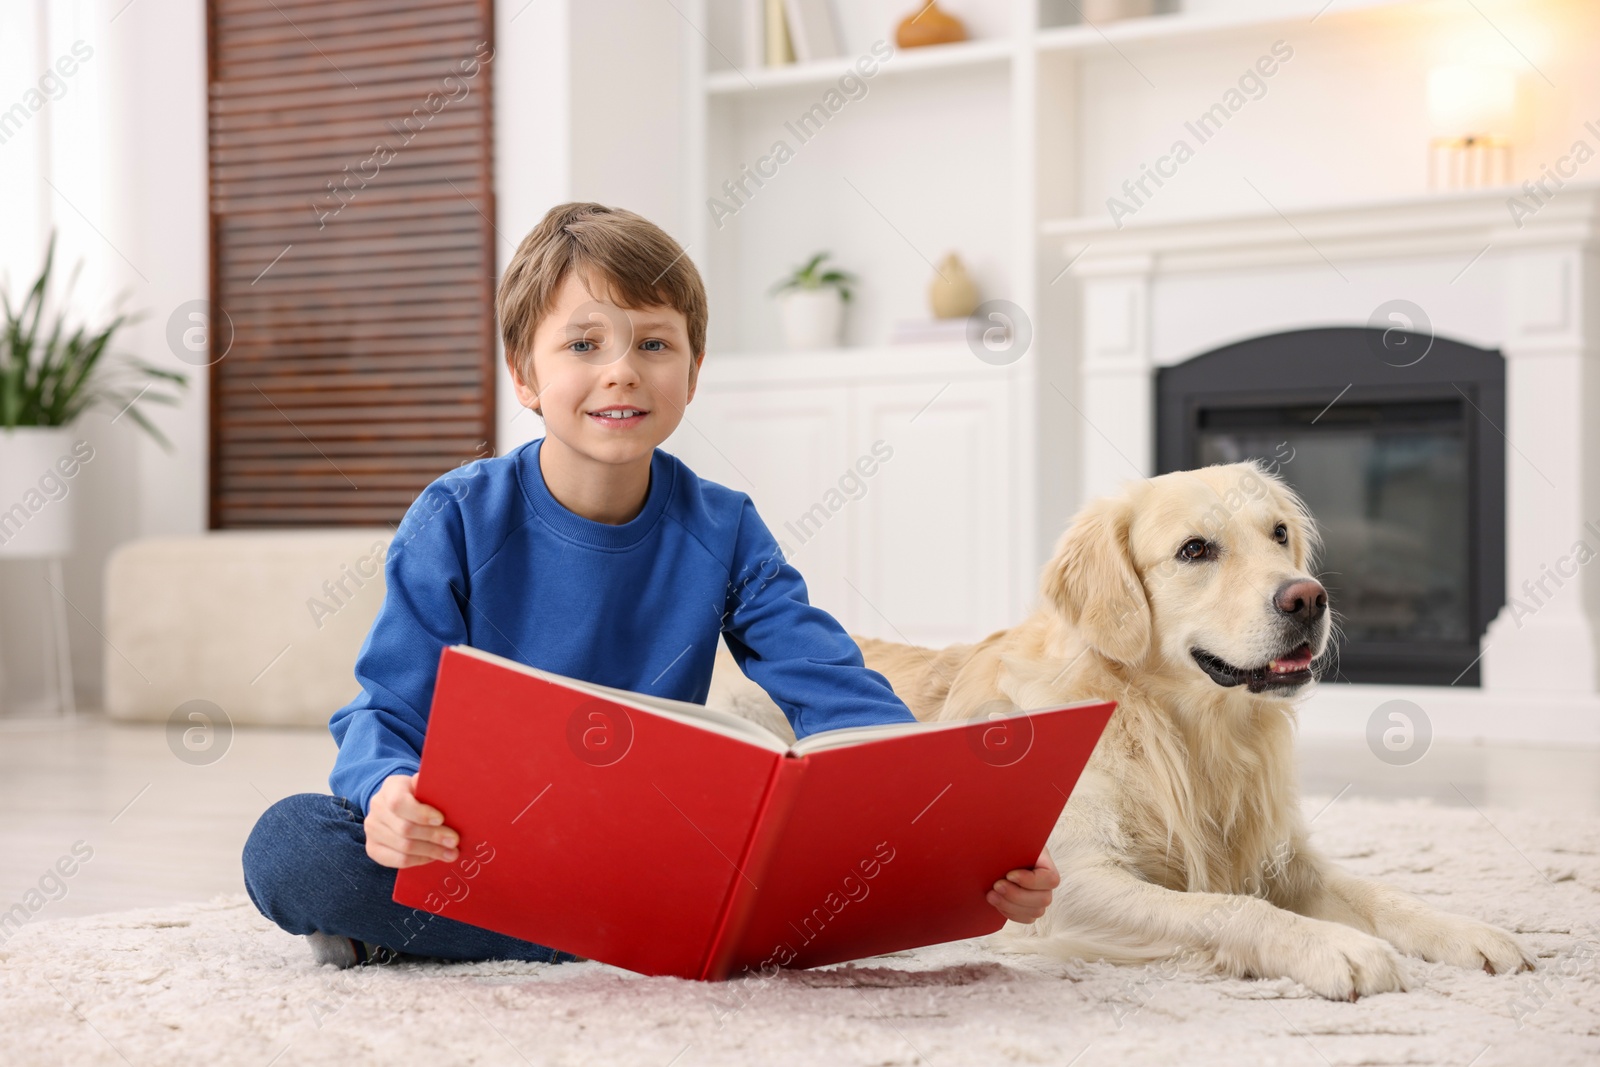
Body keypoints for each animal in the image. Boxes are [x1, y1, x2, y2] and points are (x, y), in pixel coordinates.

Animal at [713, 463, 1536, 1004]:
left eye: (1278, 534)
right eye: (1196, 550)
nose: (1308, 598)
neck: (1178, 728)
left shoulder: (1279, 856)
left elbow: (1379, 890)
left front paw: (1466, 930)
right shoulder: (1072, 882)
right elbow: (1229, 907)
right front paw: (1333, 945)